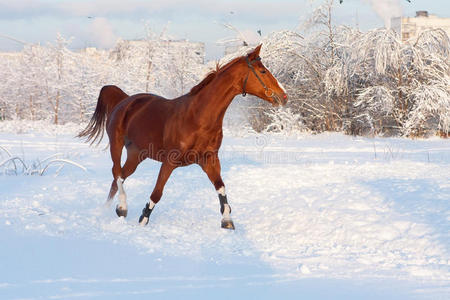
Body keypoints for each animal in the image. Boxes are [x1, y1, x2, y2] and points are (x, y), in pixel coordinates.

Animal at [78, 44, 286, 229]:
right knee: (117, 173)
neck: (198, 118)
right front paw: (143, 219)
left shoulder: (209, 159)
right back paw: (122, 207)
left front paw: (227, 220)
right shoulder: (169, 162)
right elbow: (157, 193)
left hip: (136, 154)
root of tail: (124, 100)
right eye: (263, 71)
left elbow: (221, 187)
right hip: (117, 144)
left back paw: (109, 208)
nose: (283, 96)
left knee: (119, 177)